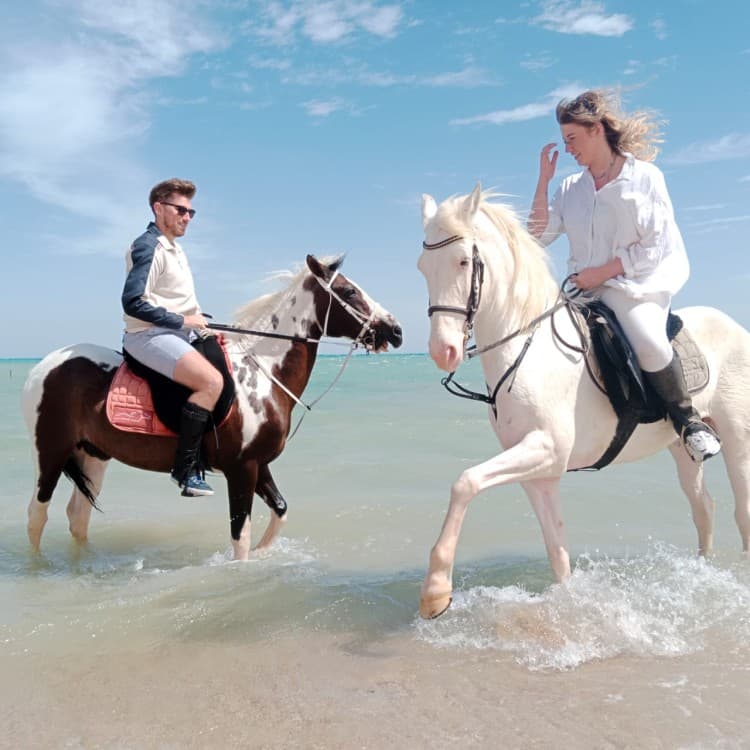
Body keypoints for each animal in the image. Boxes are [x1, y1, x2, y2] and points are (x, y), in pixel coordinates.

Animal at [23, 255, 402, 561]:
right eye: (349, 292)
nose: (395, 330)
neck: (262, 372)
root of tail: (44, 366)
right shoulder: (241, 469)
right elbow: (240, 537)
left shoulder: (258, 464)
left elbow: (280, 511)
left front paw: (266, 554)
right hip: (51, 452)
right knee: (37, 515)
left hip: (94, 455)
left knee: (78, 517)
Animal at [417, 184, 750, 618]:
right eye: (423, 267)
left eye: (461, 261)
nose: (444, 352)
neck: (528, 350)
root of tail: (734, 325)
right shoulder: (540, 470)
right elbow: (557, 551)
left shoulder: (545, 449)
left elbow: (465, 482)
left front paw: (436, 591)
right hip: (681, 447)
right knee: (703, 508)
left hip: (738, 438)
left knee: (742, 511)